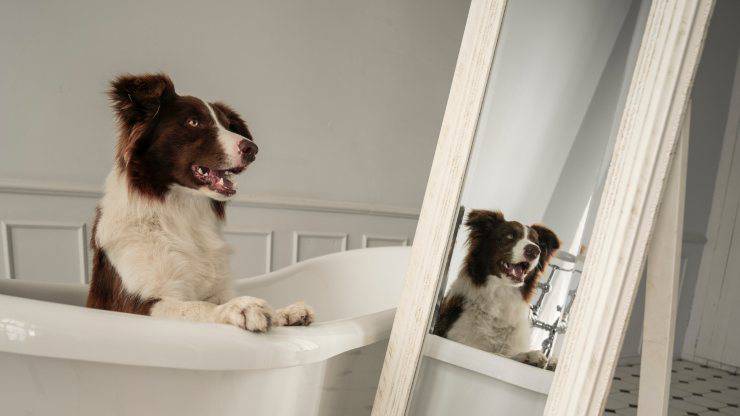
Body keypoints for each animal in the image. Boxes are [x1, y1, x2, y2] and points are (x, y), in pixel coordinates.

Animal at [86, 72, 312, 332]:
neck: (182, 212)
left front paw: (283, 312)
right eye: (193, 122)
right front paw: (241, 307)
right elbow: (198, 306)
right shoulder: (138, 304)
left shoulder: (217, 287)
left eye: (227, 125)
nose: (253, 149)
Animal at [430, 210, 556, 368]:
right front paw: (526, 356)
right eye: (509, 236)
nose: (534, 250)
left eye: (536, 242)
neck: (501, 294)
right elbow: (501, 355)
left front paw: (542, 359)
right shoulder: (460, 339)